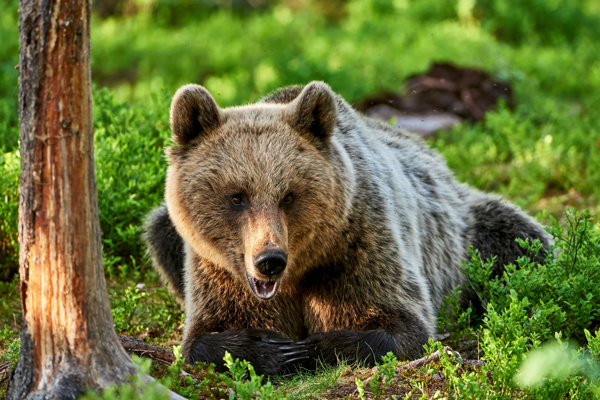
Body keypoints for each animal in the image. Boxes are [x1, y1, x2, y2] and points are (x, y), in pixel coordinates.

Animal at [143, 80, 552, 376]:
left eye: (288, 195)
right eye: (237, 196)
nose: (269, 259)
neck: (300, 270)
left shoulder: (361, 246)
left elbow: (404, 327)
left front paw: (311, 348)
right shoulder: (217, 270)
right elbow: (201, 338)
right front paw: (270, 348)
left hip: (467, 232)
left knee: (522, 245)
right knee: (159, 230)